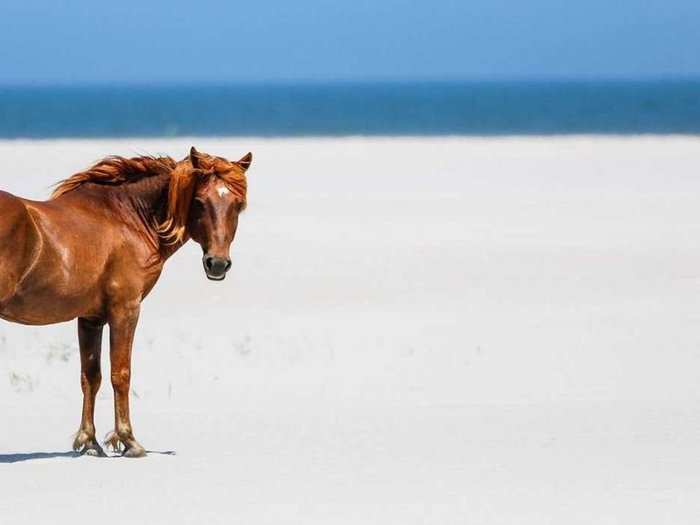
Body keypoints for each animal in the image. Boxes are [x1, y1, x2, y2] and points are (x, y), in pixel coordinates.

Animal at [0, 146, 252, 454]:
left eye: (238, 205)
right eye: (200, 201)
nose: (217, 264)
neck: (125, 219)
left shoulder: (90, 318)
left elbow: (91, 376)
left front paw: (89, 441)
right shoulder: (126, 310)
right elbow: (121, 374)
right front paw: (128, 439)